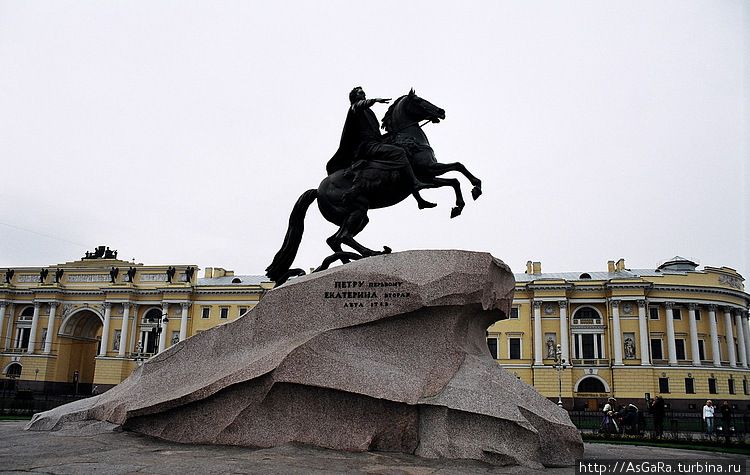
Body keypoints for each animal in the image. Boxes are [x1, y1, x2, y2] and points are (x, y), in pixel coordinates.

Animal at [268, 90, 484, 284]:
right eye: (420, 100)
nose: (441, 111)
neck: (407, 139)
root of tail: (317, 190)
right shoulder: (428, 172)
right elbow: (456, 172)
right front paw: (469, 195)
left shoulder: (431, 175)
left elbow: (456, 174)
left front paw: (462, 199)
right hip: (358, 210)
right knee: (343, 237)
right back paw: (371, 252)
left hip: (357, 217)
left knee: (334, 239)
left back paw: (349, 261)